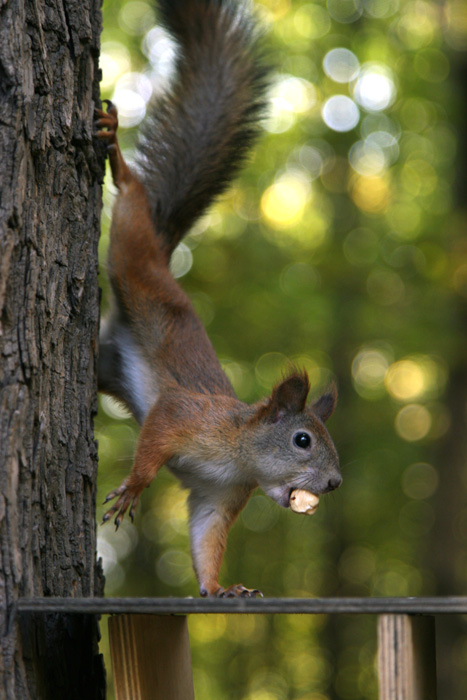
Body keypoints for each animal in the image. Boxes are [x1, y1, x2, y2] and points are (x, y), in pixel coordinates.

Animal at [96, 0, 344, 600]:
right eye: (303, 439)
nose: (334, 482)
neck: (239, 456)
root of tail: (164, 255)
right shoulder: (185, 416)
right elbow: (155, 437)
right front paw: (133, 487)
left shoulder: (219, 497)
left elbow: (206, 537)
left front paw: (221, 588)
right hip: (136, 259)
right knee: (131, 206)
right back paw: (116, 149)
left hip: (106, 365)